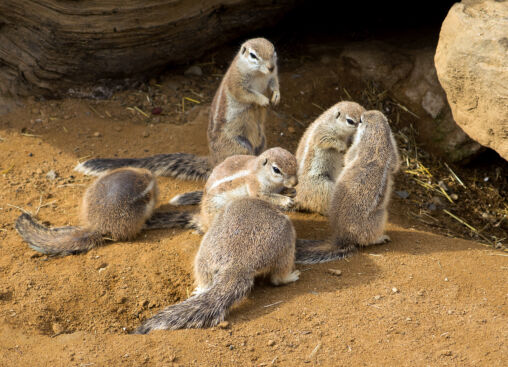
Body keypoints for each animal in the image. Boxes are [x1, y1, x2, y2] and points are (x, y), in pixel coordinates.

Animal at [75, 37, 280, 181]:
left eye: (274, 51)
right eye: (253, 55)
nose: (271, 67)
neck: (260, 75)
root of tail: (213, 160)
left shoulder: (272, 77)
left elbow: (275, 83)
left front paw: (276, 97)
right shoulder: (237, 83)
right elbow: (246, 94)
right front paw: (263, 100)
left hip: (262, 142)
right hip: (239, 146)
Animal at [133, 197, 300, 334]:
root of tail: (238, 264)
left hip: (203, 257)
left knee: (205, 278)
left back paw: (201, 289)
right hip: (286, 245)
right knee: (278, 277)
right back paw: (291, 276)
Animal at [294, 109, 400, 264]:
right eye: (361, 119)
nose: (367, 112)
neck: (376, 138)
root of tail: (343, 238)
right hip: (381, 216)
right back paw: (382, 238)